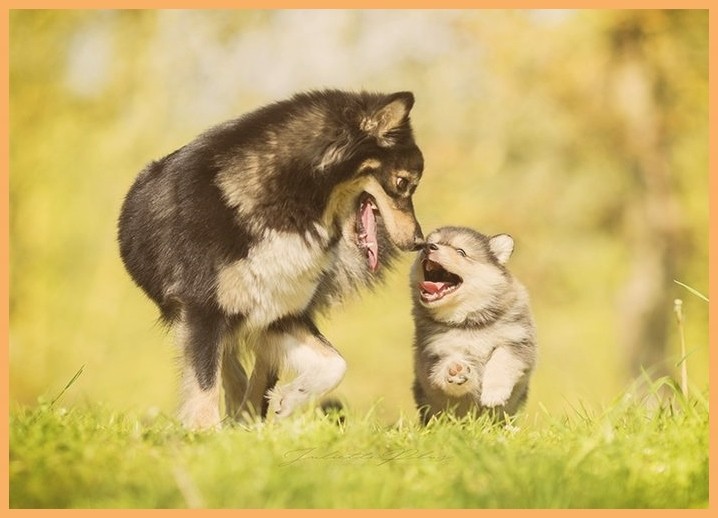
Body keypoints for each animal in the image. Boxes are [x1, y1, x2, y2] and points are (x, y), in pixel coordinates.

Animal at [115, 90, 424, 430]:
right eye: (403, 183)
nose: (419, 241)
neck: (289, 203)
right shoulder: (202, 309)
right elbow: (204, 382)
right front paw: (204, 432)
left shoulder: (279, 311)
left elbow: (335, 363)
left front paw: (287, 401)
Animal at [410, 228, 540, 426]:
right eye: (426, 244)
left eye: (461, 252)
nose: (429, 247)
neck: (468, 321)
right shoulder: (432, 352)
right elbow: (441, 372)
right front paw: (456, 372)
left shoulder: (517, 340)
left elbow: (502, 361)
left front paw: (494, 393)